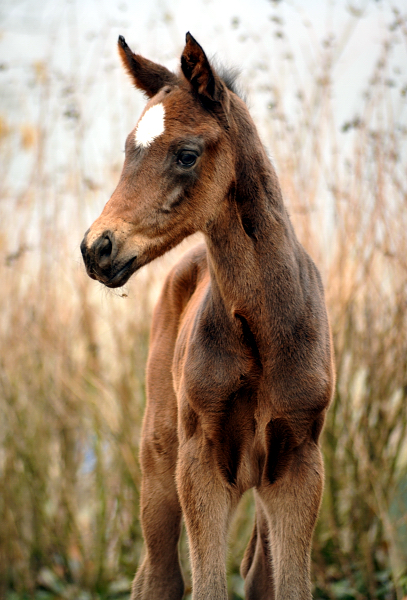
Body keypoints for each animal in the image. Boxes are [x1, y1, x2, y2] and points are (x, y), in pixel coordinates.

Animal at [79, 32, 334, 600]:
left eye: (187, 154)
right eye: (128, 149)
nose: (96, 249)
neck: (264, 329)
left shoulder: (299, 463)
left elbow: (288, 586)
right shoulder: (200, 462)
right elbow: (205, 585)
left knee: (257, 574)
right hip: (159, 456)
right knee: (158, 575)